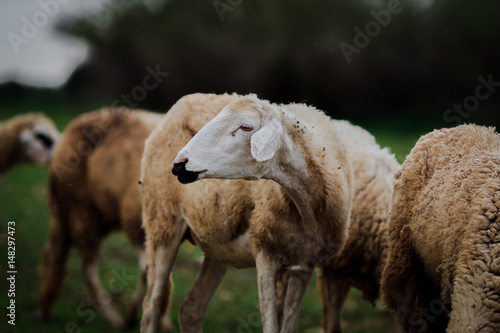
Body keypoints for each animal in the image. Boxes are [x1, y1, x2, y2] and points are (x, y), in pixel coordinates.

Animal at [37, 107, 174, 328]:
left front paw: (162, 321)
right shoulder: (138, 224)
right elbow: (148, 273)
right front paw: (133, 317)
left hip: (96, 214)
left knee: (57, 253)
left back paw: (46, 307)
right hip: (79, 211)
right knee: (84, 265)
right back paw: (113, 318)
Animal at [141, 91, 354, 332]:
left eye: (245, 127)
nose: (179, 164)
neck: (306, 208)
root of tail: (179, 105)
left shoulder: (305, 266)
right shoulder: (266, 254)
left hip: (218, 244)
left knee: (191, 309)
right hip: (162, 222)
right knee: (152, 307)